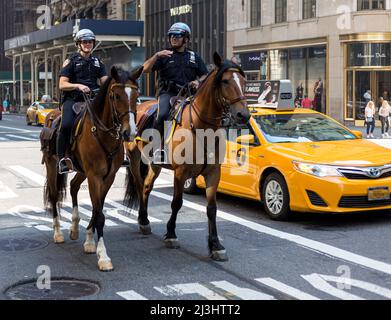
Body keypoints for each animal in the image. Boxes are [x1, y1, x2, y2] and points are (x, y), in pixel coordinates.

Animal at [41, 66, 144, 272]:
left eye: (136, 96)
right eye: (116, 96)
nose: (130, 132)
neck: (104, 133)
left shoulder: (107, 177)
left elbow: (98, 210)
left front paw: (90, 242)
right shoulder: (94, 176)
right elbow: (100, 215)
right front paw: (103, 257)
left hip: (81, 171)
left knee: (73, 186)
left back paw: (74, 228)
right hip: (52, 166)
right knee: (54, 196)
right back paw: (58, 232)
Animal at [125, 52, 251, 262]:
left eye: (244, 81)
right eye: (225, 81)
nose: (244, 115)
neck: (202, 127)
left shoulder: (213, 173)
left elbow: (212, 209)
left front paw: (215, 245)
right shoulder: (180, 172)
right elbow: (177, 203)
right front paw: (171, 234)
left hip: (155, 165)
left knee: (146, 187)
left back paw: (144, 220)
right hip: (135, 158)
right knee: (138, 183)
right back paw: (143, 220)